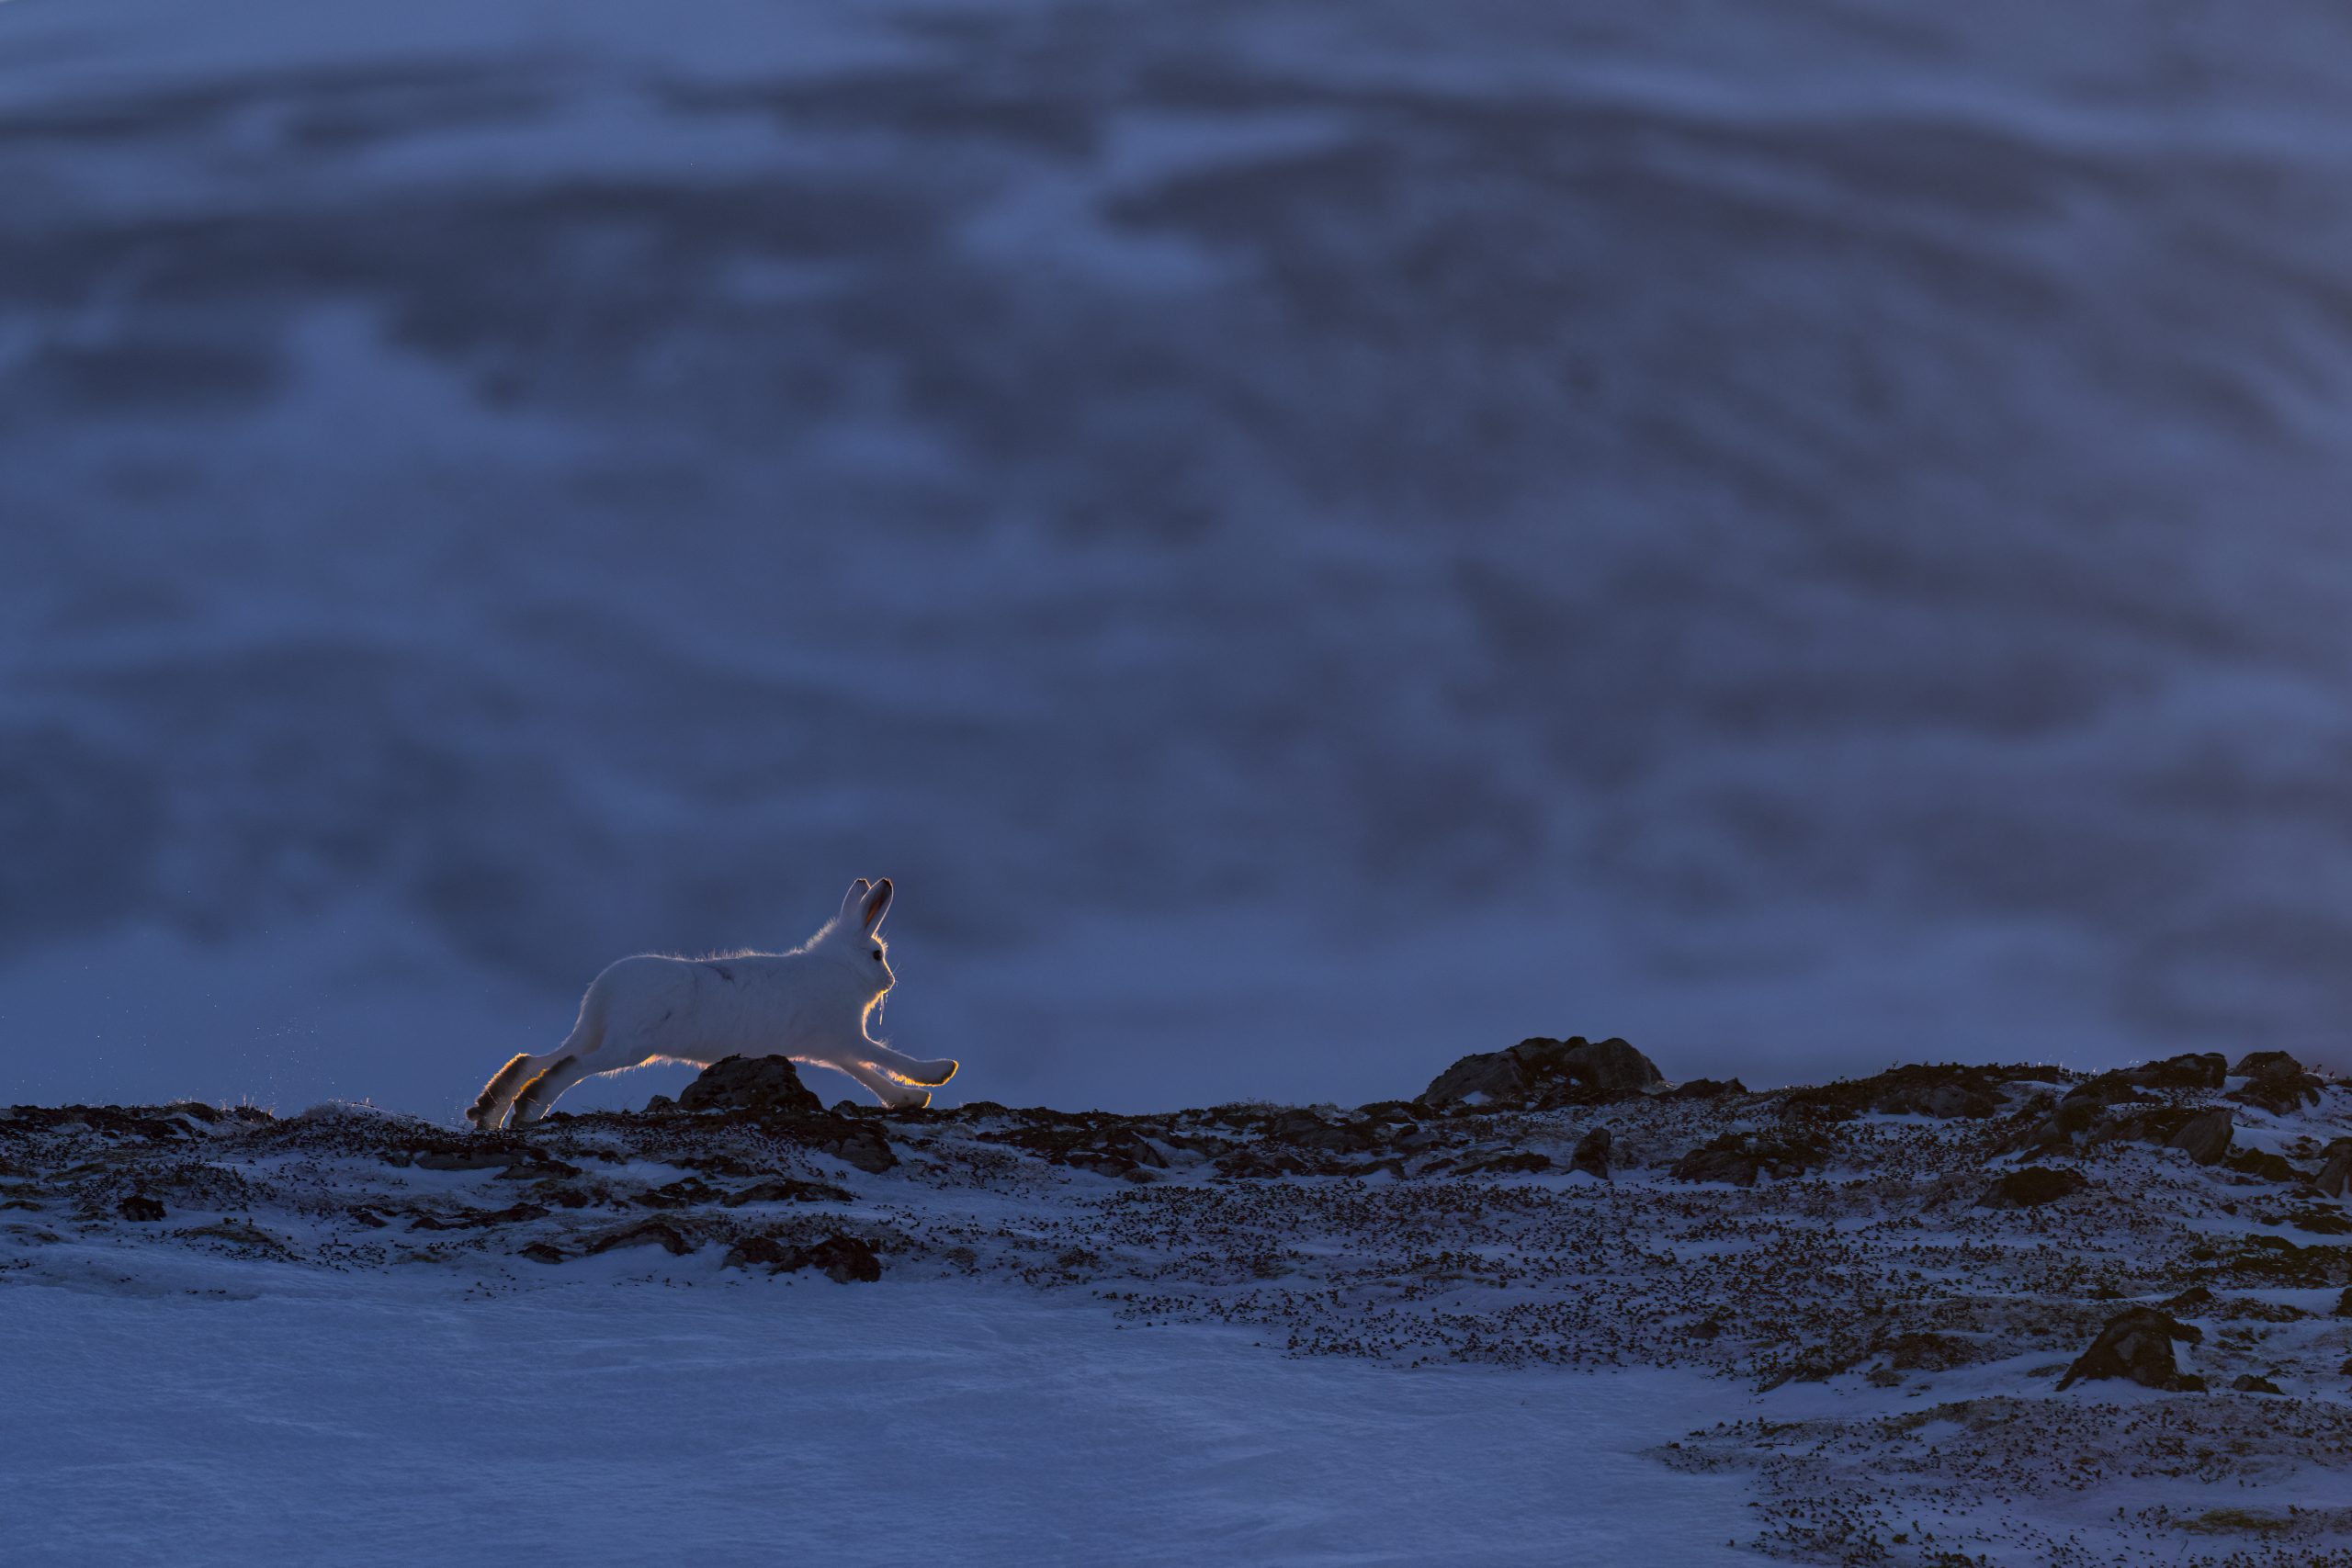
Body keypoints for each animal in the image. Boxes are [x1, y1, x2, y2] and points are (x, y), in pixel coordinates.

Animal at [466, 878, 956, 1130]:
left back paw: (490, 1115)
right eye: (877, 954)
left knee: (533, 1059)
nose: (890, 980)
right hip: (627, 1047)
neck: (839, 966)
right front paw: (940, 1072)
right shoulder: (845, 1038)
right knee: (566, 1068)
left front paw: (912, 1099)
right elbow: (884, 1059)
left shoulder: (834, 1048)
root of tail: (604, 991)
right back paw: (528, 1112)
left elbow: (869, 1075)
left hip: (594, 1034)